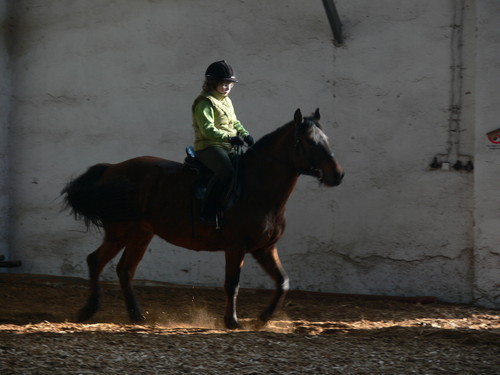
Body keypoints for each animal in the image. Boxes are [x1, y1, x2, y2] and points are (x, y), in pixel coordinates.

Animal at [62, 108, 344, 328]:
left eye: (327, 140)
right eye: (309, 142)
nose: (337, 175)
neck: (256, 187)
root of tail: (112, 168)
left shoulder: (264, 248)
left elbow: (282, 281)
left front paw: (263, 318)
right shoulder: (236, 247)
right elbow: (232, 283)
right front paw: (232, 321)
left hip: (141, 234)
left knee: (125, 270)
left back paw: (136, 316)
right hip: (120, 231)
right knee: (96, 261)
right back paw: (89, 310)